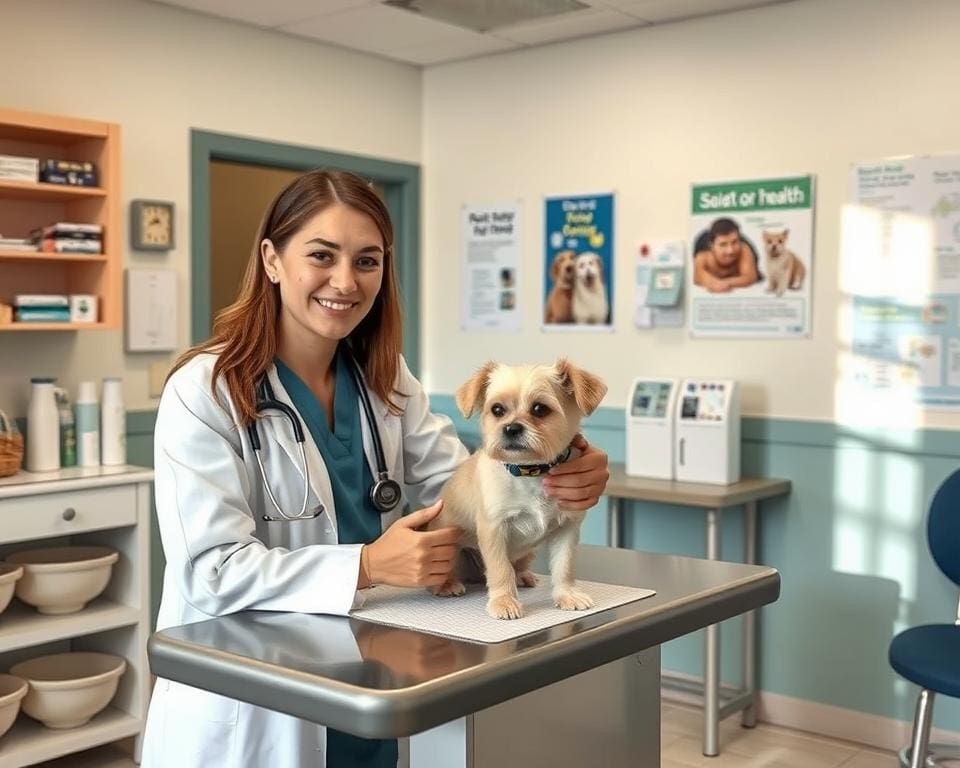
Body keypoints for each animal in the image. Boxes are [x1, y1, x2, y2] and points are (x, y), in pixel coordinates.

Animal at [432, 358, 604, 616]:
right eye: (497, 410)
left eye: (540, 409)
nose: (511, 428)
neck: (530, 471)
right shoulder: (493, 529)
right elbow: (500, 569)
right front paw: (504, 601)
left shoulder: (567, 529)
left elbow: (564, 566)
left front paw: (567, 595)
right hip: (443, 548)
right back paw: (447, 584)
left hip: (528, 551)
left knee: (518, 566)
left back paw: (524, 576)